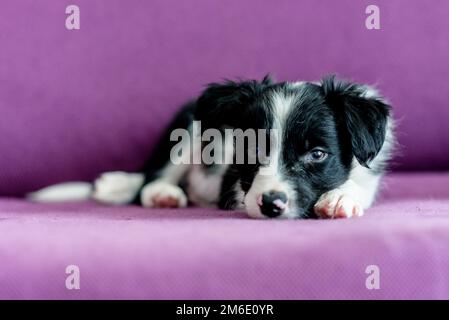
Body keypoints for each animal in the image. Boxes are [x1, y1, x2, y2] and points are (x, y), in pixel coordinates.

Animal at [28, 76, 392, 219]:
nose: (270, 204)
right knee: (151, 179)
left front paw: (341, 197)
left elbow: (359, 182)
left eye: (317, 154)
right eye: (250, 149)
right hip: (190, 128)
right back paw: (160, 193)